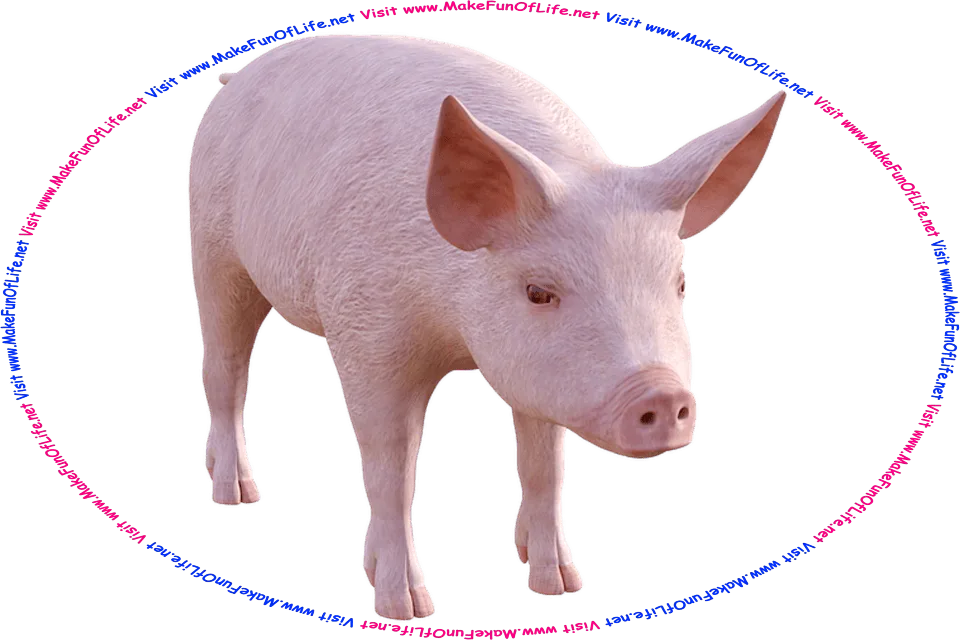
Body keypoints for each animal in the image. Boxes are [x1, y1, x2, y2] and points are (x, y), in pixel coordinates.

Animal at [186, 32, 787, 621]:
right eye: (539, 292)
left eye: (679, 281)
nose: (662, 396)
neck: (454, 334)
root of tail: (234, 81)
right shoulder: (366, 332)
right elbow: (391, 469)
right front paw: (408, 609)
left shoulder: (535, 374)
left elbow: (544, 466)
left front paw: (561, 586)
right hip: (215, 252)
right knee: (223, 370)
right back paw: (236, 494)